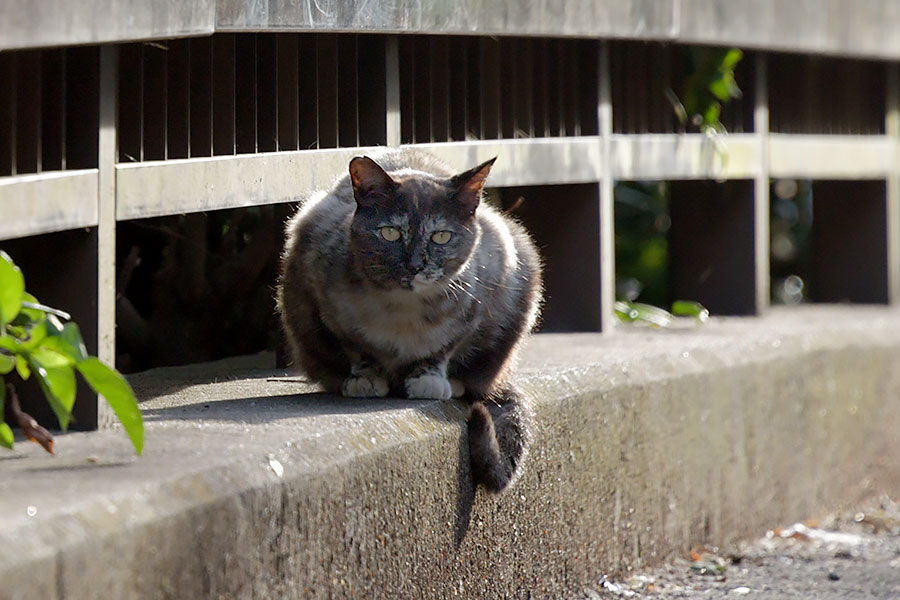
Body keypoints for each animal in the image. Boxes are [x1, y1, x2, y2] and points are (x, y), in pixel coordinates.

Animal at [274, 146, 540, 492]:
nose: (415, 264)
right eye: (390, 232)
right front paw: (365, 378)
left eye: (441, 236)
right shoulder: (325, 301)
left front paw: (429, 380)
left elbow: (443, 348)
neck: (402, 310)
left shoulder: (483, 295)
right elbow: (357, 348)